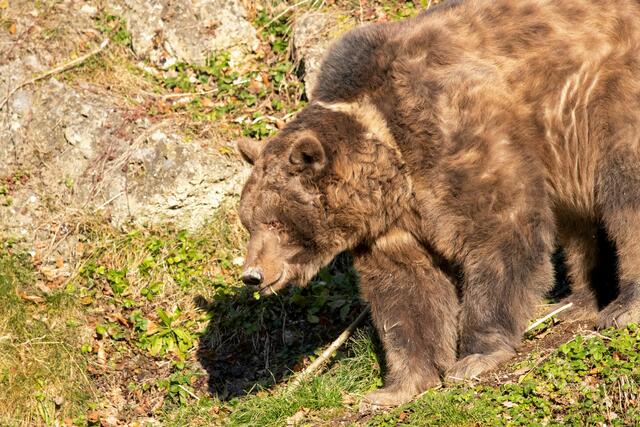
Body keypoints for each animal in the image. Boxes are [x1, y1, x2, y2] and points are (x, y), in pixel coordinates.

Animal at [237, 0, 640, 407]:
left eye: (275, 221)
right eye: (249, 221)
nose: (252, 274)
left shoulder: (457, 135)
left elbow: (501, 235)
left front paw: (475, 356)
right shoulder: (393, 223)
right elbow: (406, 291)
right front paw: (396, 387)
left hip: (605, 101)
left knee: (624, 194)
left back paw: (623, 307)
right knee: (579, 226)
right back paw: (577, 303)